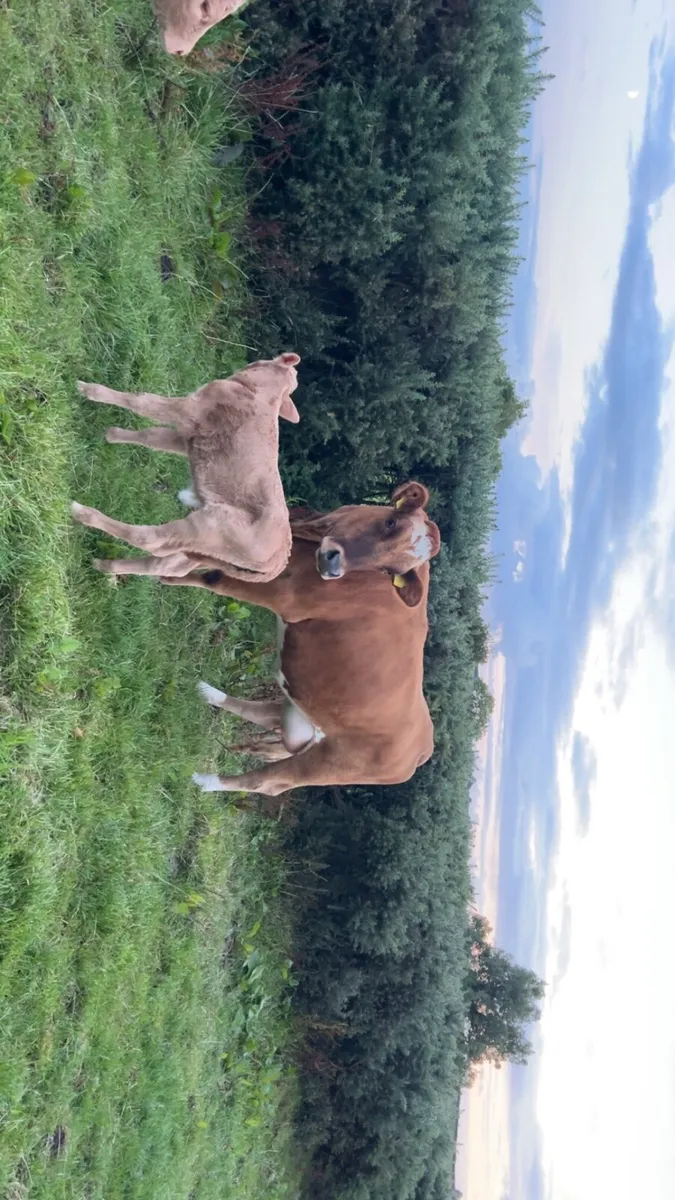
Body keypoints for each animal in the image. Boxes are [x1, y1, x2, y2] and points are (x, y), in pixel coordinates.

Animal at [70, 353, 301, 583]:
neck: (257, 391)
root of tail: (278, 563)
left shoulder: (190, 410)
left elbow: (141, 400)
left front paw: (87, 389)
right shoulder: (187, 437)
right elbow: (150, 436)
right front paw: (111, 434)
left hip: (208, 527)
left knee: (151, 540)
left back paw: (82, 513)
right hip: (194, 552)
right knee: (161, 564)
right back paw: (104, 566)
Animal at [159, 482, 442, 802]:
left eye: (389, 571)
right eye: (391, 522)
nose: (334, 565)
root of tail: (423, 749)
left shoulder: (284, 596)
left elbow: (214, 577)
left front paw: (165, 574)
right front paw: (192, 500)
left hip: (329, 763)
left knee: (267, 782)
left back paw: (204, 781)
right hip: (301, 709)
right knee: (265, 715)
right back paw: (207, 692)